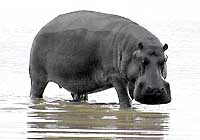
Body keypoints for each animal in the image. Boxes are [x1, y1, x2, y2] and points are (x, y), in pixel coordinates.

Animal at [28, 10, 171, 107]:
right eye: (142, 60)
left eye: (164, 60)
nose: (155, 89)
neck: (135, 50)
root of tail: (41, 29)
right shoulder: (116, 77)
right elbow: (125, 99)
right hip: (38, 78)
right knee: (35, 93)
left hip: (78, 82)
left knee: (78, 95)